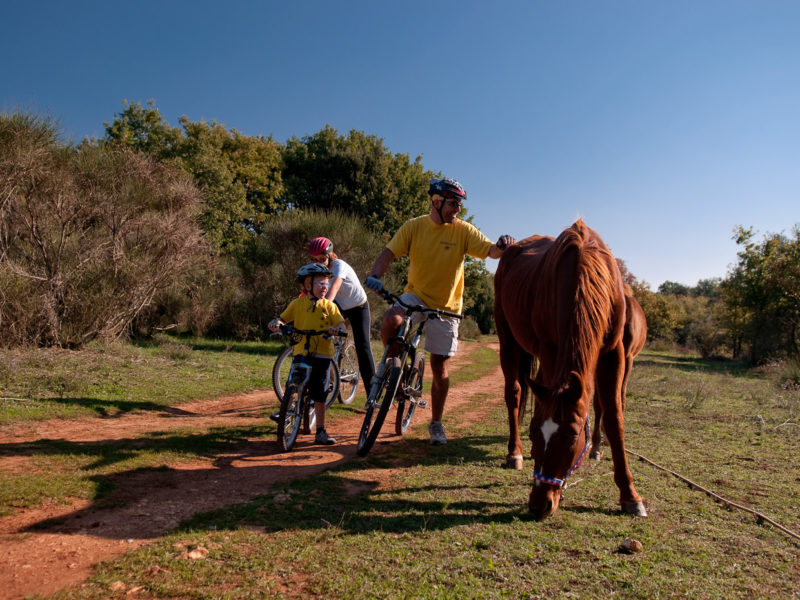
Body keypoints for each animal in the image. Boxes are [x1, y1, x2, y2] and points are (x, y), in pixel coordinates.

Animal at [494, 220, 648, 520]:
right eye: (535, 432)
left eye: (572, 437)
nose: (539, 504)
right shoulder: (551, 349)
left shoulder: (614, 353)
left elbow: (614, 416)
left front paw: (630, 495)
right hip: (508, 342)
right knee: (514, 394)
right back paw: (514, 453)